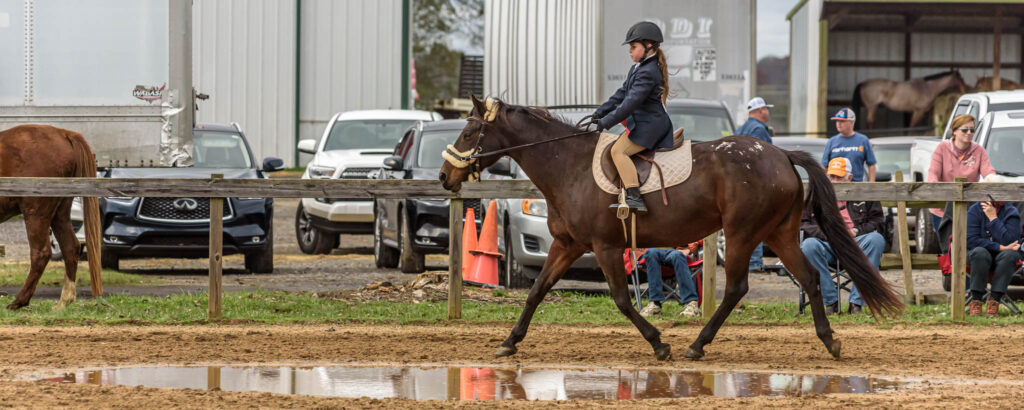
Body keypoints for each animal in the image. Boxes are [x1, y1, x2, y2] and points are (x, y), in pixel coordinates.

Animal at [0, 123, 102, 309]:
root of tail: (63, 133)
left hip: (36, 213)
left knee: (41, 253)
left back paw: (19, 301)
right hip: (60, 213)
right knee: (71, 247)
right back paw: (65, 300)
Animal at [440, 96, 905, 362]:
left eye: (469, 130)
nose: (445, 177)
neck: (568, 166)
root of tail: (779, 153)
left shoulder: (605, 247)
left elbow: (622, 300)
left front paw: (658, 343)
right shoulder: (568, 244)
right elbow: (537, 291)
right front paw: (509, 342)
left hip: (741, 233)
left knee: (737, 288)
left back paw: (696, 345)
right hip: (780, 234)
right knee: (809, 277)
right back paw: (830, 341)